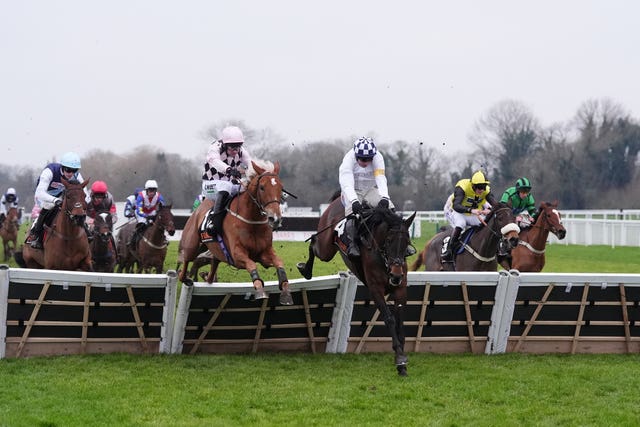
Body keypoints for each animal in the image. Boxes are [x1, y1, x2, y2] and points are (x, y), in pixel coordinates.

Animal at [178, 159, 292, 306]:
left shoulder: (264, 253)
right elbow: (251, 265)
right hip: (192, 245)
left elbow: (280, 264)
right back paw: (184, 276)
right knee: (185, 263)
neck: (251, 222)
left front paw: (286, 292)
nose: (275, 219)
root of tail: (199, 207)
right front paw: (260, 291)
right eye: (262, 187)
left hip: (216, 254)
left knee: (210, 275)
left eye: (280, 188)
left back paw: (204, 276)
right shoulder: (237, 255)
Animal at [298, 195, 418, 378]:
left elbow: (400, 320)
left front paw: (402, 358)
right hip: (325, 248)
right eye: (389, 240)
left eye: (407, 242)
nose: (396, 275)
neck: (382, 258)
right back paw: (305, 269)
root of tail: (337, 200)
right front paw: (399, 359)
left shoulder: (400, 289)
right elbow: (389, 319)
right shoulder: (375, 289)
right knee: (313, 242)